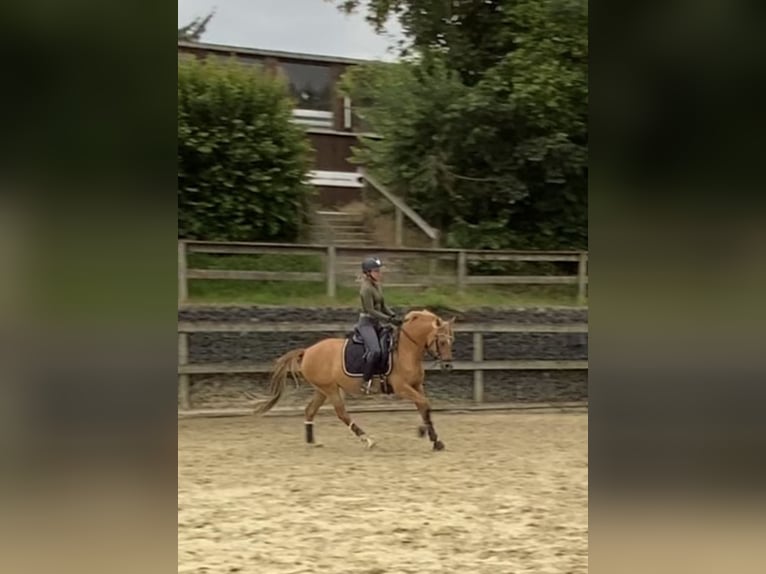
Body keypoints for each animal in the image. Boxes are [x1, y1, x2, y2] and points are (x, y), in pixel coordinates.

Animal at [253, 309, 455, 451]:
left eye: (451, 340)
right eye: (442, 341)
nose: (447, 366)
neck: (406, 350)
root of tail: (308, 351)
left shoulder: (416, 385)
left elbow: (424, 406)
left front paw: (436, 440)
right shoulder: (402, 388)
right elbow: (424, 403)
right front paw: (422, 431)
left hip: (322, 390)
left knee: (310, 411)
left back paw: (312, 442)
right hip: (331, 389)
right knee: (342, 413)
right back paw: (368, 440)